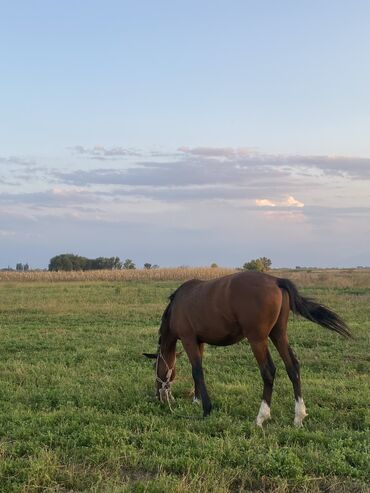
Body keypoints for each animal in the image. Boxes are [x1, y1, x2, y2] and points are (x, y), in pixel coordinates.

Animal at [143, 270, 352, 424]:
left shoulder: (188, 340)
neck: (177, 305)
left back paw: (261, 417)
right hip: (278, 335)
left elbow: (197, 371)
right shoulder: (199, 341)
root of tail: (276, 281)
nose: (159, 396)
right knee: (293, 367)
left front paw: (206, 409)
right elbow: (197, 371)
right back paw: (298, 416)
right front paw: (196, 400)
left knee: (268, 372)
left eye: (155, 367)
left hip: (257, 340)